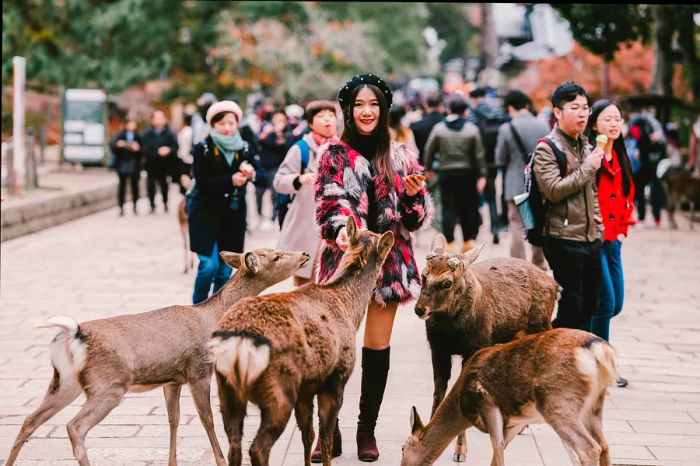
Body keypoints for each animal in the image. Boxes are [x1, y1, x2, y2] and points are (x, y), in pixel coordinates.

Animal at [3, 248, 308, 466]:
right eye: (276, 256)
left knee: (29, 420)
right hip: (108, 384)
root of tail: (73, 334)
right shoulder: (198, 370)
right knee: (75, 426)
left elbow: (173, 420)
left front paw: (172, 462)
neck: (212, 319)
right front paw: (222, 461)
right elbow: (207, 419)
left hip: (64, 382)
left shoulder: (172, 380)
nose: (305, 254)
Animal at [208, 216, 394, 466]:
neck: (350, 310)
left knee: (235, 445)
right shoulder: (336, 378)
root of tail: (239, 343)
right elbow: (325, 437)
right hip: (279, 386)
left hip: (225, 388)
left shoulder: (307, 386)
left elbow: (308, 434)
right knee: (258, 447)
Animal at [402, 328, 620, 466]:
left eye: (403, 448)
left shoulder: (488, 404)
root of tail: (601, 351)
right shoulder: (515, 422)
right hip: (593, 407)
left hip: (558, 401)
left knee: (589, 448)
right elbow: (498, 452)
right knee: (605, 446)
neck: (462, 410)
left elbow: (497, 450)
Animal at [416, 235, 556, 460]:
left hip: (542, 325)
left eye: (447, 282)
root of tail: (555, 286)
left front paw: (460, 451)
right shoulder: (437, 349)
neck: (452, 331)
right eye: (423, 275)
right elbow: (438, 392)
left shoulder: (474, 347)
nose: (420, 309)